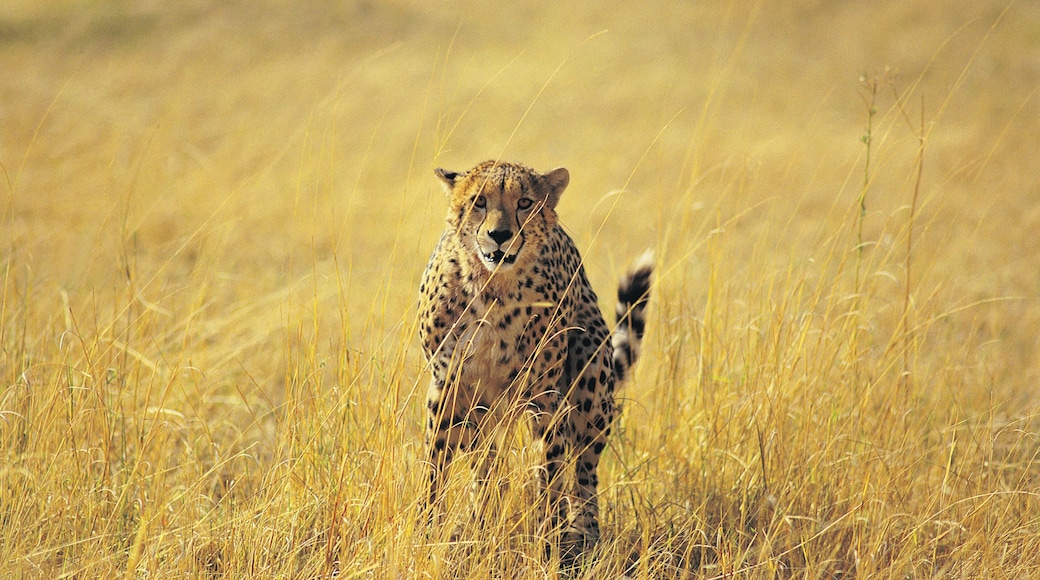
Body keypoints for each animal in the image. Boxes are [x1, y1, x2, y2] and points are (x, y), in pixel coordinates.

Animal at [417, 159, 652, 564]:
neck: (492, 287)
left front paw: (548, 546)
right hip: (484, 412)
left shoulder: (544, 397)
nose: (499, 234)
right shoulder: (447, 387)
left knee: (585, 472)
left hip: (590, 385)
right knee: (487, 464)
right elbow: (437, 469)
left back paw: (585, 536)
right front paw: (431, 532)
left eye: (524, 202)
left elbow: (549, 475)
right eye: (479, 202)